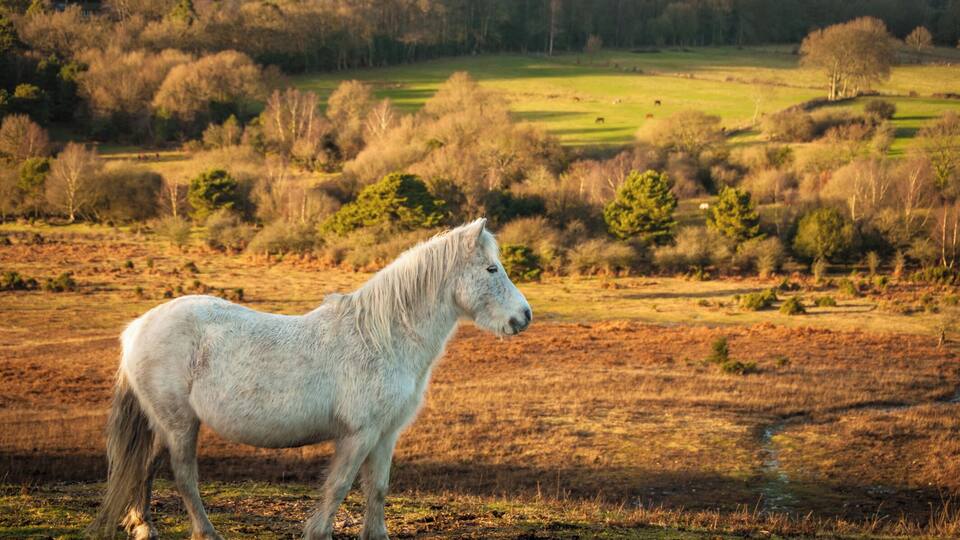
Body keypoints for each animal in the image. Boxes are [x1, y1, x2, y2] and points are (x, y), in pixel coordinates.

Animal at [88, 218, 532, 540]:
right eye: (491, 268)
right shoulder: (358, 434)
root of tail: (138, 327)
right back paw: (205, 533)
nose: (524, 316)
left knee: (144, 466)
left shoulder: (385, 435)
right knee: (183, 477)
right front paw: (317, 532)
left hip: (162, 423)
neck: (381, 338)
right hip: (180, 424)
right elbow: (338, 488)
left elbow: (378, 489)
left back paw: (143, 527)